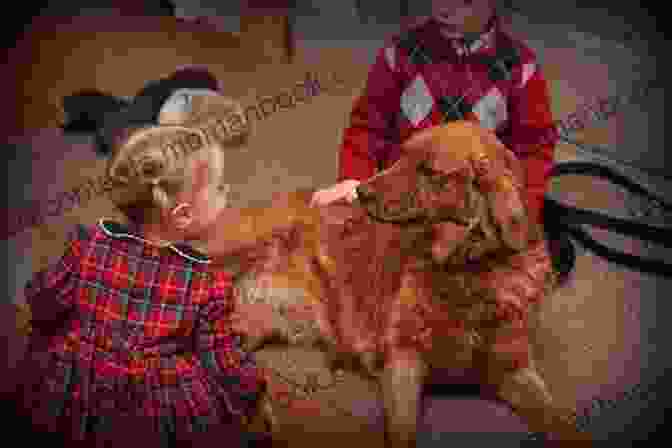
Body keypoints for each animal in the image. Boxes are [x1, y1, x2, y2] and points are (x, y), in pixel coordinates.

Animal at [201, 121, 592, 446]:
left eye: (428, 171)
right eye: (402, 154)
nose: (360, 193)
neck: (465, 272)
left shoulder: (515, 369)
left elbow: (563, 423)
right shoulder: (402, 358)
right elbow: (403, 431)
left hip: (243, 327)